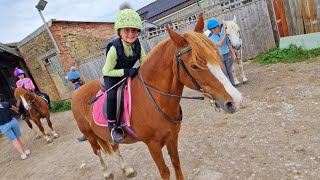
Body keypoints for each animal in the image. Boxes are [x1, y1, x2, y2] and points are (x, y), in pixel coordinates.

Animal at [72, 13, 242, 179]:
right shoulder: (152, 145)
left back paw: (126, 169)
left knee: (115, 147)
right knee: (97, 152)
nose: (236, 100)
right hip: (90, 135)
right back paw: (107, 172)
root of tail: (77, 92)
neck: (155, 100)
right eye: (194, 65)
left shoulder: (172, 137)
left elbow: (176, 163)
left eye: (217, 55)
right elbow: (165, 171)